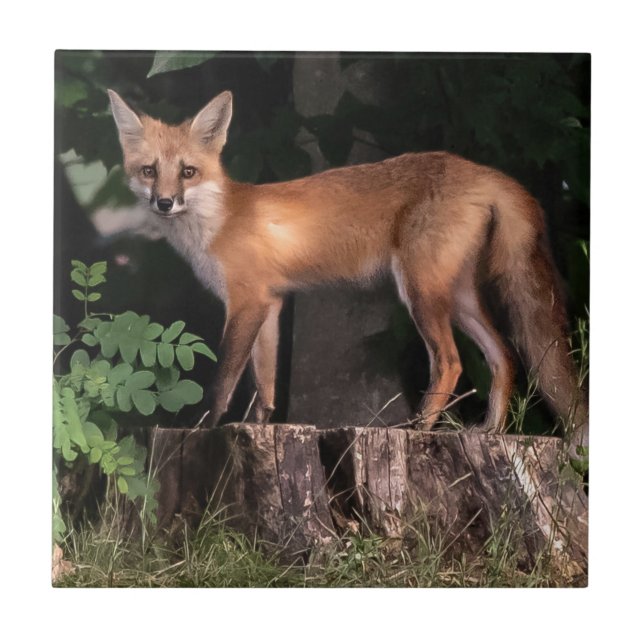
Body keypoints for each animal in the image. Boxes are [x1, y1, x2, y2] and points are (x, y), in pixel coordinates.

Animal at [108, 88, 588, 453]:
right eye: (149, 171)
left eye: (188, 172)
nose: (164, 202)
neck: (218, 219)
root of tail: (483, 171)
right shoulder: (270, 302)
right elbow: (265, 382)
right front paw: (258, 429)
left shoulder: (246, 302)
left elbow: (223, 378)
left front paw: (203, 427)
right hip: (458, 296)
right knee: (504, 354)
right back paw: (490, 430)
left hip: (420, 291)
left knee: (451, 362)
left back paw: (417, 429)